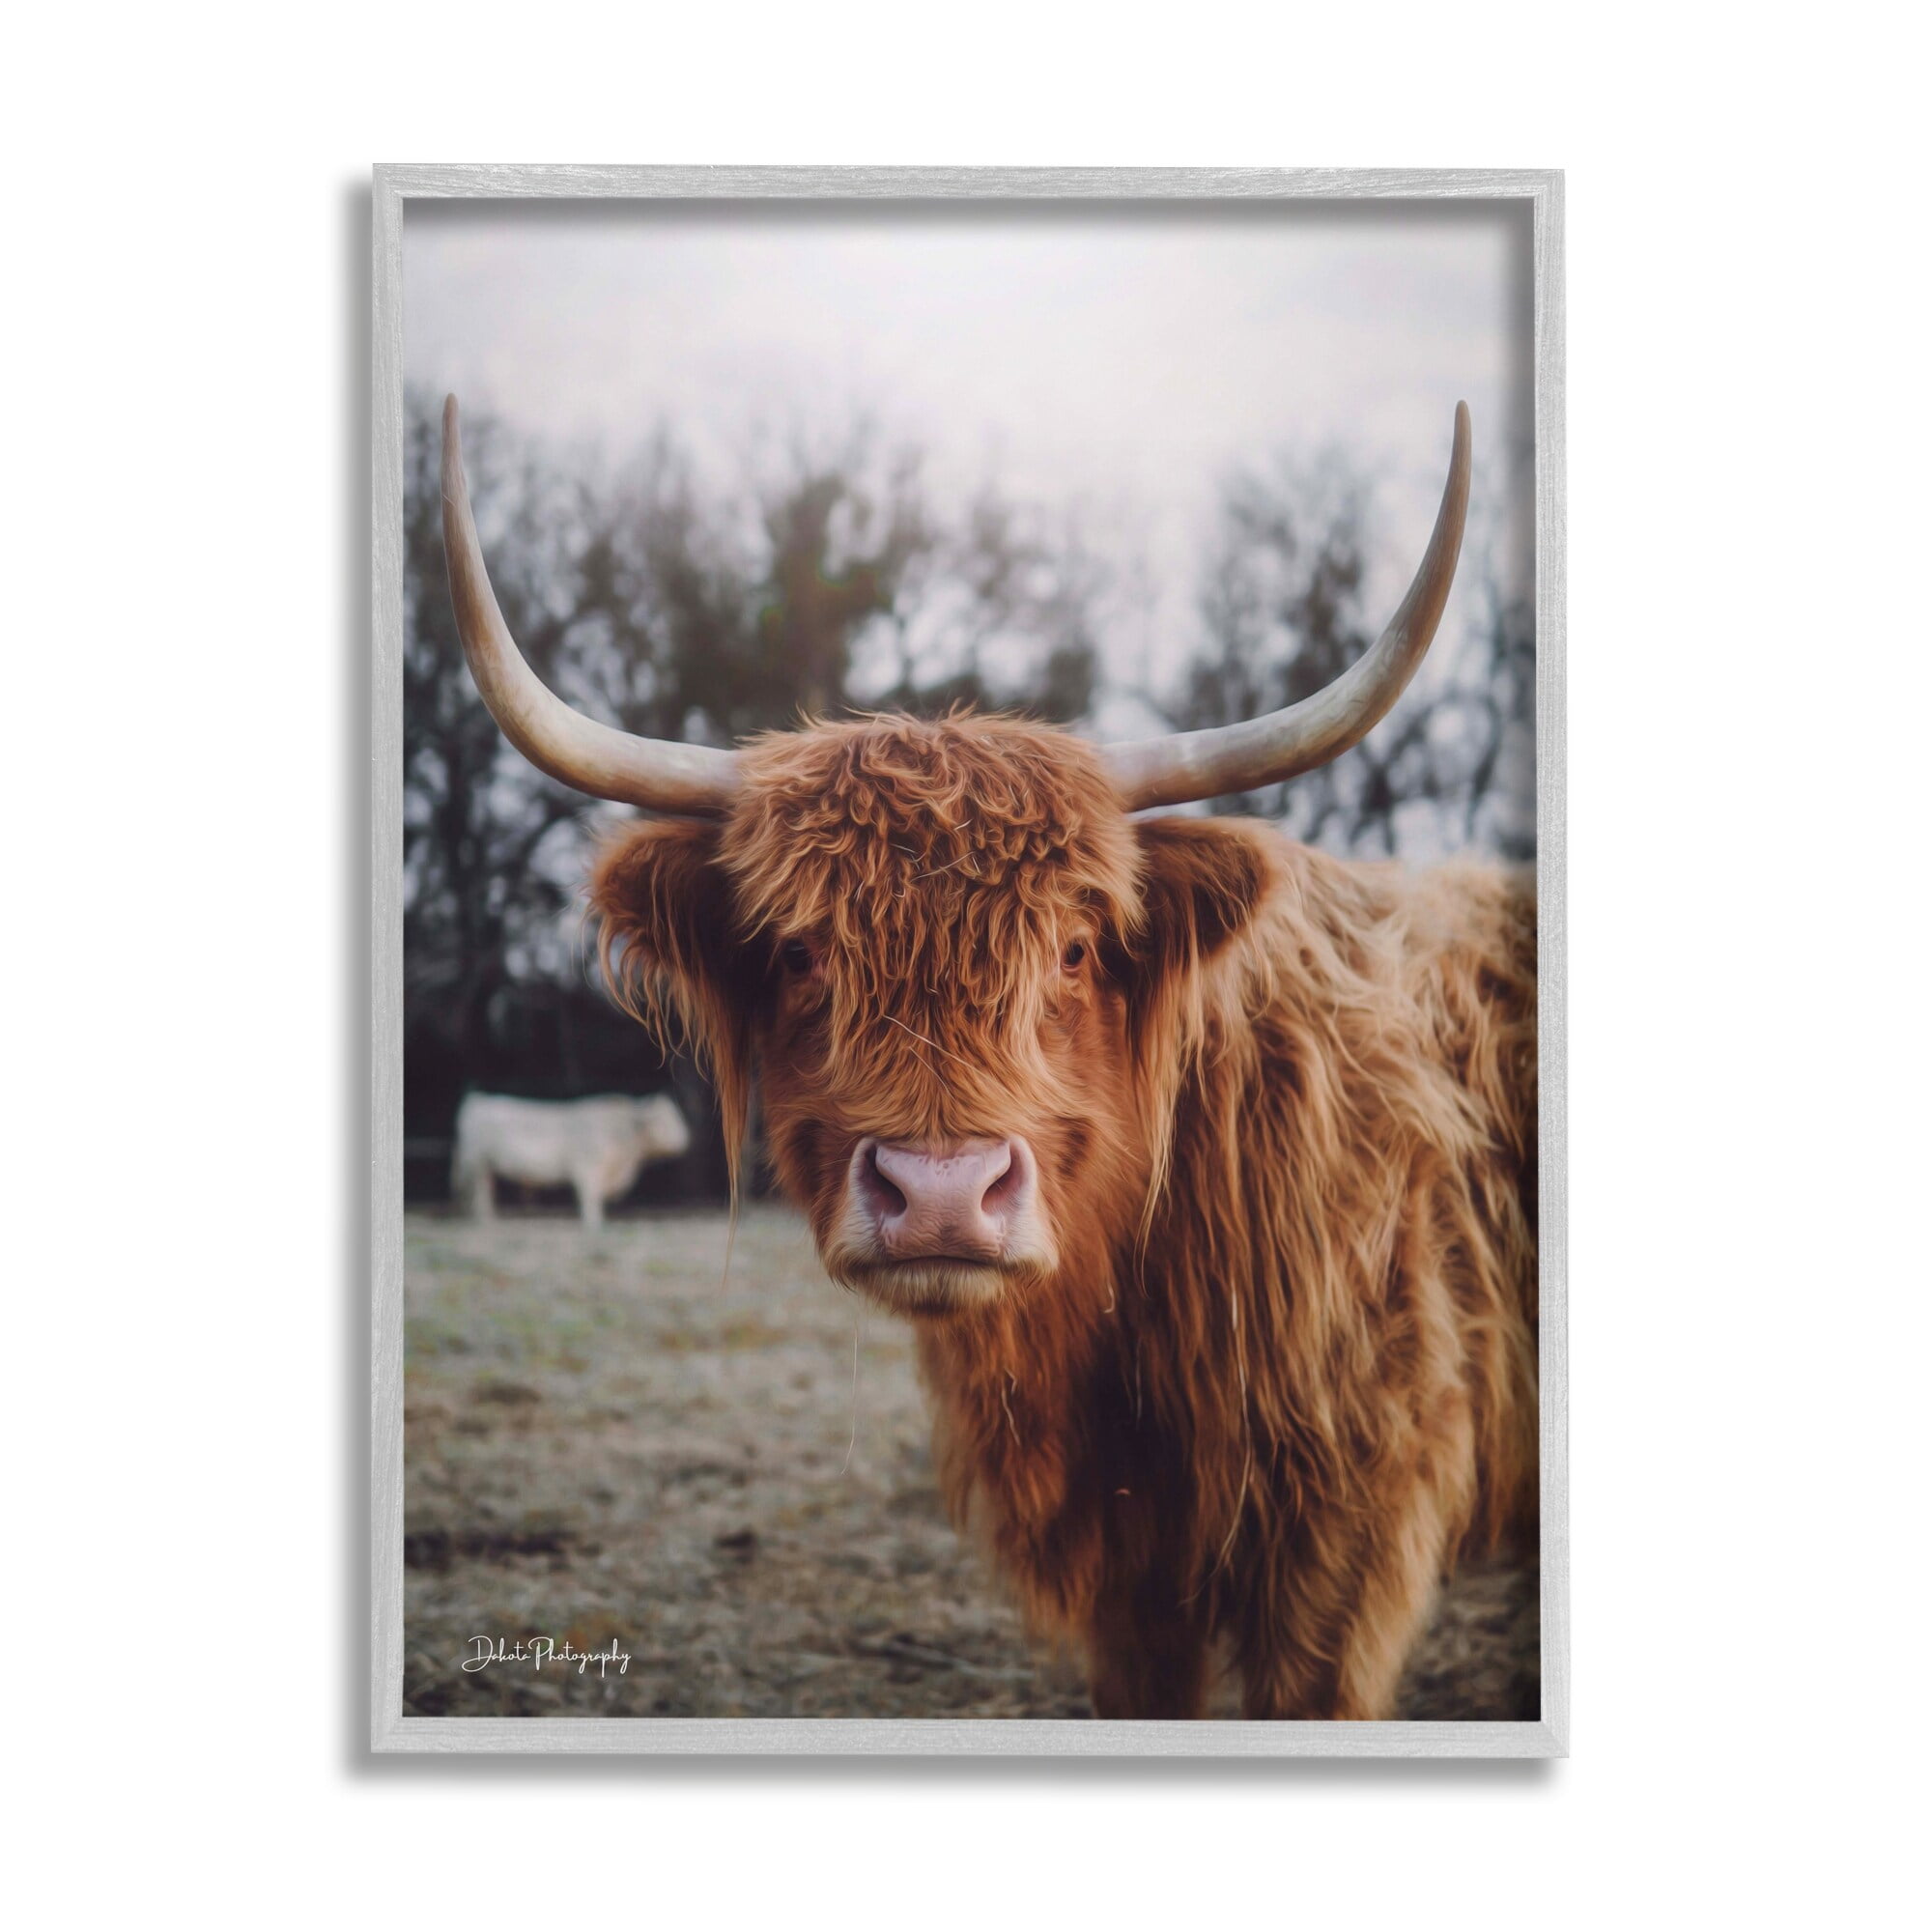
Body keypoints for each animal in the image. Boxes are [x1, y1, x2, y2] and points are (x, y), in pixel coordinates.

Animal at [451, 1091, 691, 1228]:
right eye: (662, 1121)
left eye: (676, 1116)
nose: (686, 1139)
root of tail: (478, 1100)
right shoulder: (586, 1168)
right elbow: (590, 1198)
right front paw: (594, 1224)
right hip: (477, 1163)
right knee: (480, 1193)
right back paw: (486, 1221)